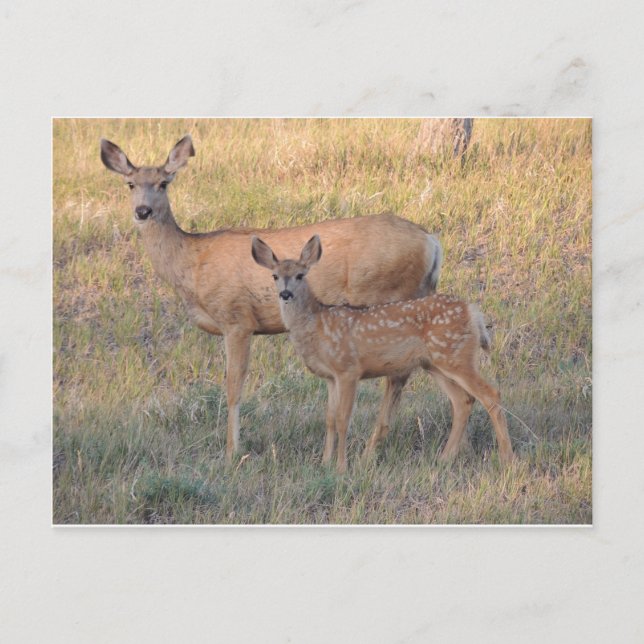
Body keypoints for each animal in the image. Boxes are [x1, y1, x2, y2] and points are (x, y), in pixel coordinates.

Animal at [100, 135, 443, 462]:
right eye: (130, 184)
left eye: (163, 183)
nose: (142, 211)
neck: (191, 264)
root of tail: (431, 241)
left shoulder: (237, 318)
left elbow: (233, 386)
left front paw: (232, 452)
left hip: (389, 298)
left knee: (398, 375)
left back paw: (371, 450)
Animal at [251, 234, 513, 473]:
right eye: (275, 276)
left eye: (300, 275)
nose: (286, 294)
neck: (317, 325)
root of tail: (473, 312)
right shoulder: (330, 377)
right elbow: (329, 419)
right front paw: (324, 463)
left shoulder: (348, 369)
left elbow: (343, 419)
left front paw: (341, 467)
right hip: (435, 363)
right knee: (462, 401)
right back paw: (444, 458)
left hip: (456, 356)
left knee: (491, 394)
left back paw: (506, 458)